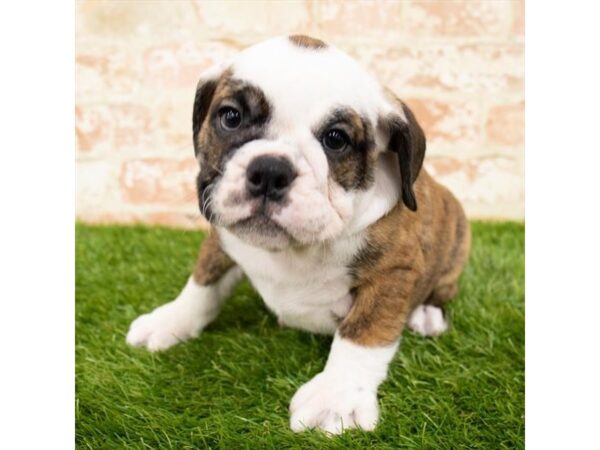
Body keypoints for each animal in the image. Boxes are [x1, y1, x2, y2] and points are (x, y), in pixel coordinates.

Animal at [126, 33, 472, 434]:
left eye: (336, 139)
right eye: (231, 117)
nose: (270, 170)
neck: (294, 250)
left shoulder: (394, 272)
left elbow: (364, 331)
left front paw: (337, 396)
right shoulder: (221, 239)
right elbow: (202, 285)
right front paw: (170, 320)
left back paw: (427, 315)